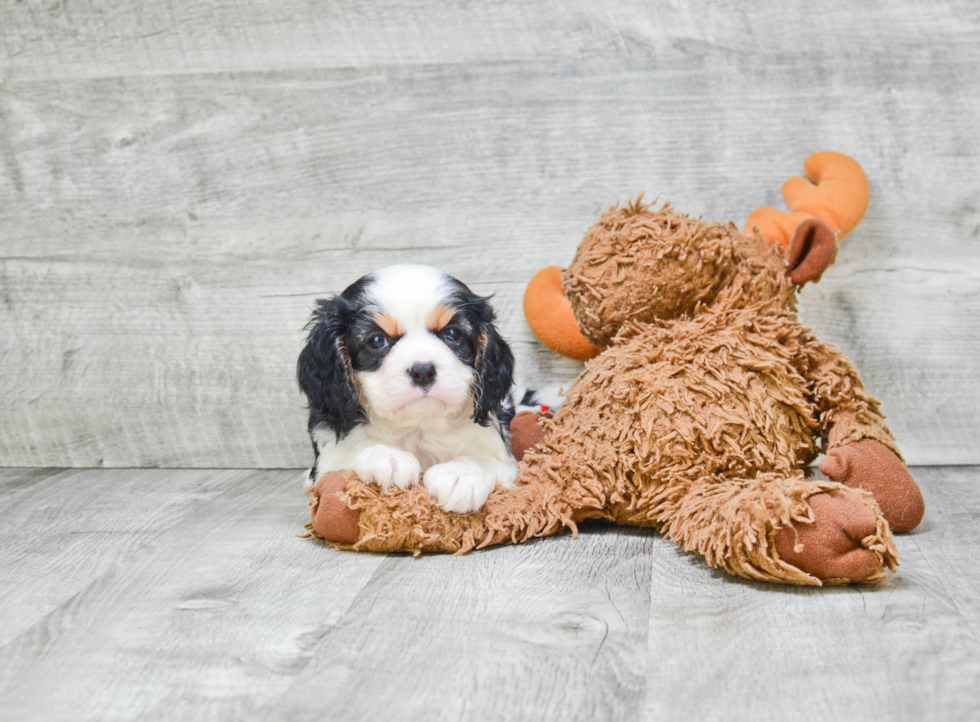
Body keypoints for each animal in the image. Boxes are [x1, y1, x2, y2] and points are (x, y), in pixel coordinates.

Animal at [296, 264, 520, 512]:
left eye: (452, 334)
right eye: (377, 341)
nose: (423, 370)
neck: (417, 425)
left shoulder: (501, 454)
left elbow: (483, 457)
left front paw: (461, 475)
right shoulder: (327, 459)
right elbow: (353, 448)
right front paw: (386, 456)